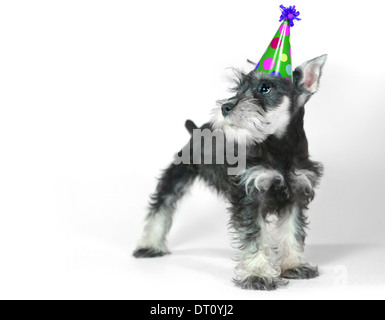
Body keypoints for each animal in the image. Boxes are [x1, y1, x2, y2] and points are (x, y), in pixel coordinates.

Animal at [133, 54, 328, 290]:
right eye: (238, 88)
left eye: (265, 88)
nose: (225, 107)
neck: (279, 149)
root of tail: (198, 130)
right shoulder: (250, 196)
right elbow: (254, 236)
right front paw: (258, 274)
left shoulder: (296, 195)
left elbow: (293, 231)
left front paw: (294, 265)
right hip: (178, 173)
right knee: (161, 205)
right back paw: (149, 245)